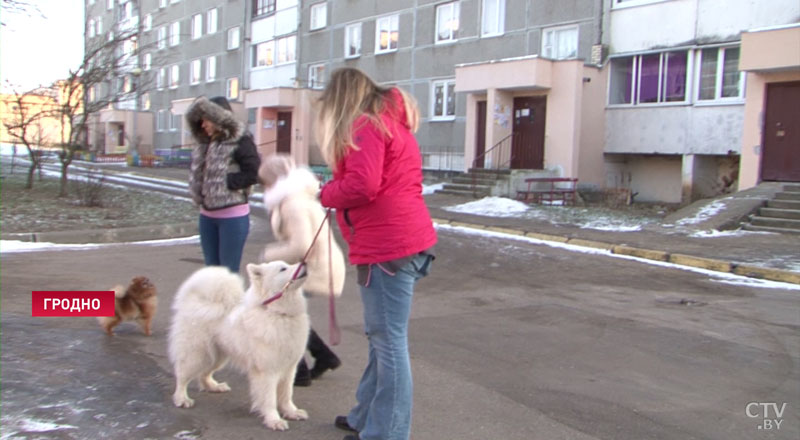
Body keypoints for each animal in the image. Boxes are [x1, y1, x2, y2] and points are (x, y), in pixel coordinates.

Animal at [168, 262, 310, 430]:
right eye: (283, 269)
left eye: (288, 264)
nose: (305, 263)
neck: (277, 313)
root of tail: (194, 302)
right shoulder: (267, 371)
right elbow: (270, 398)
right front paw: (274, 420)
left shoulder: (289, 368)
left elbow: (286, 394)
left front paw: (291, 412)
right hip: (196, 355)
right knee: (182, 377)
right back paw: (181, 399)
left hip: (217, 356)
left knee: (204, 374)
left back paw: (214, 386)